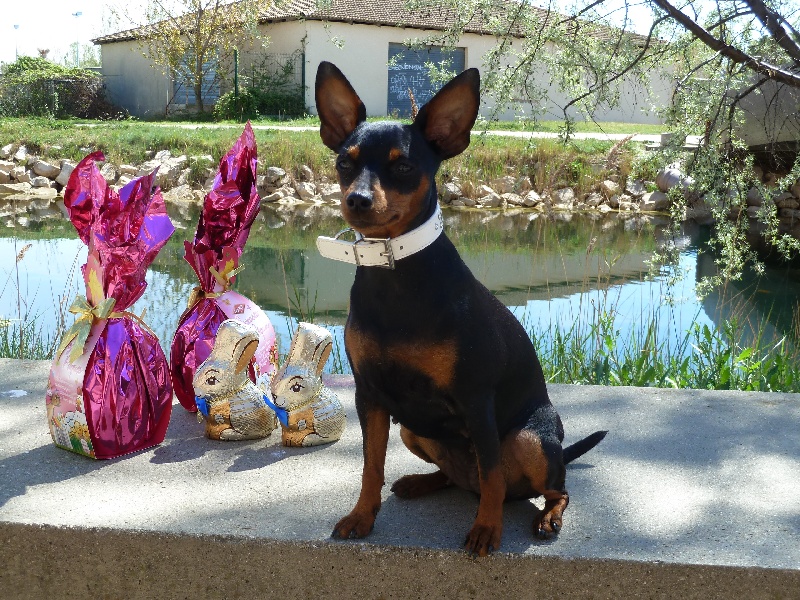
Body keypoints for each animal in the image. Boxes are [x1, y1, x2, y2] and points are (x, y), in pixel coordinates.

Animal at [312, 61, 608, 556]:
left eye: (404, 166)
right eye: (344, 163)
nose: (357, 200)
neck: (395, 273)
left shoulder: (475, 399)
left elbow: (491, 475)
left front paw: (487, 530)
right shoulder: (369, 394)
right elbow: (371, 466)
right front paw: (362, 516)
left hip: (530, 438)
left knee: (546, 487)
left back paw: (547, 516)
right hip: (413, 428)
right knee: (456, 478)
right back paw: (420, 482)